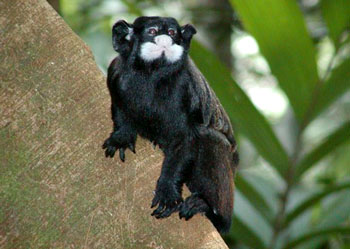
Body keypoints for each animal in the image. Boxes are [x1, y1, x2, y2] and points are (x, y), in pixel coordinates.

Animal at [101, 16, 238, 232]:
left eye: (173, 33)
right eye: (153, 31)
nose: (166, 38)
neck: (151, 75)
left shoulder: (185, 87)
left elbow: (185, 139)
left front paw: (167, 190)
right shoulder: (115, 72)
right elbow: (120, 109)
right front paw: (122, 136)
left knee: (210, 139)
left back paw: (210, 210)